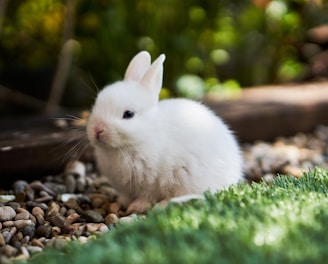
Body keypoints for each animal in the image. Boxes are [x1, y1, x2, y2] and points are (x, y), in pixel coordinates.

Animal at [86, 50, 242, 213]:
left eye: (128, 114)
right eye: (96, 104)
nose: (97, 129)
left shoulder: (153, 182)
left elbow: (148, 196)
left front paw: (137, 206)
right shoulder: (126, 188)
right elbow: (126, 196)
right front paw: (118, 204)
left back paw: (164, 204)